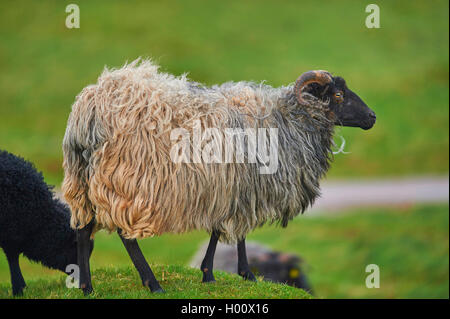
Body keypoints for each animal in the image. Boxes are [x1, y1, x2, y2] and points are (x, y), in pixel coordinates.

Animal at [60, 59, 376, 296]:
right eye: (337, 96)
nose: (372, 117)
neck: (288, 121)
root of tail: (87, 111)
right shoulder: (244, 187)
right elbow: (237, 232)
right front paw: (245, 274)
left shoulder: (229, 187)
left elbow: (217, 229)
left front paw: (209, 273)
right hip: (127, 180)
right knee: (126, 236)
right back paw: (153, 283)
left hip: (82, 180)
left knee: (83, 230)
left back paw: (86, 287)